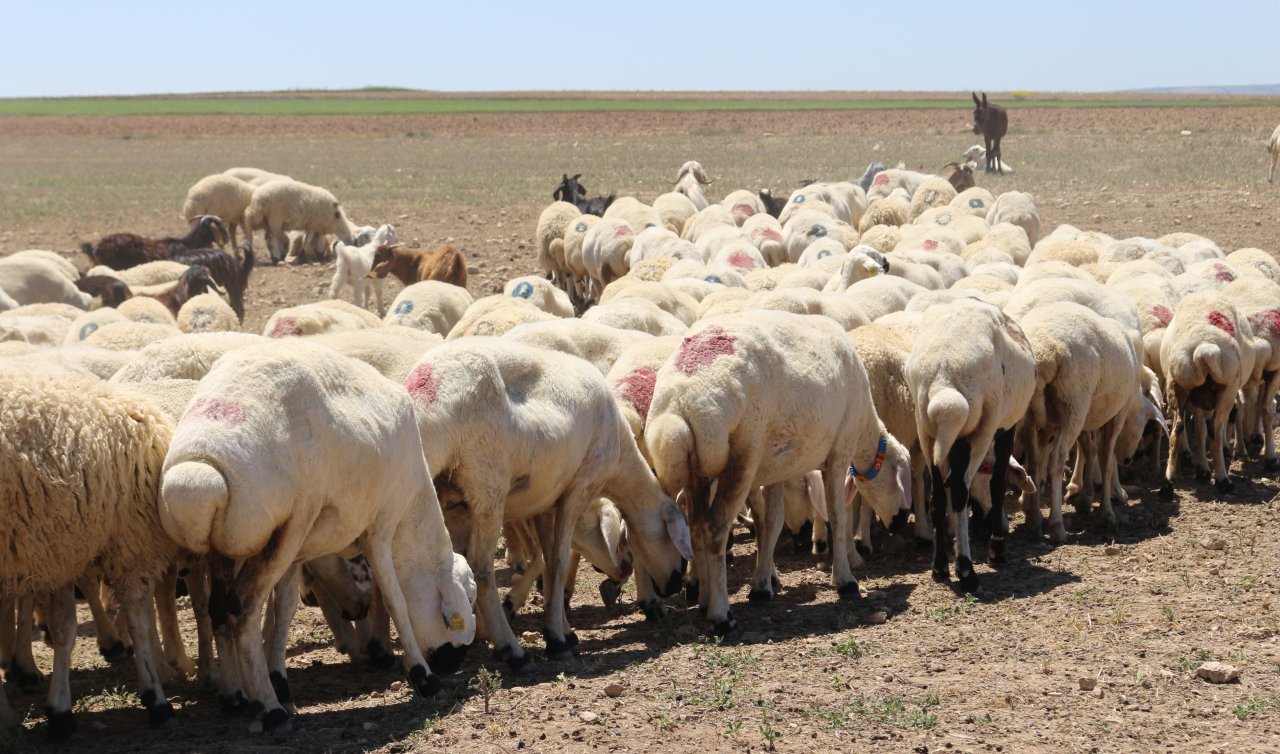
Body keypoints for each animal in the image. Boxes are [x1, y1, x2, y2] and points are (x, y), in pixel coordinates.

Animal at [0, 373, 180, 737]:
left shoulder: (56, 546)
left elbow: (64, 628)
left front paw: (57, 710)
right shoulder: (125, 541)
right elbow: (138, 622)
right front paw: (156, 698)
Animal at [160, 340, 478, 727]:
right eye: (466, 603)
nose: (455, 663)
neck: (413, 513)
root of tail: (197, 473)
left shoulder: (297, 553)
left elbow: (283, 611)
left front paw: (281, 682)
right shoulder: (380, 527)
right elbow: (395, 601)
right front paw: (424, 678)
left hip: (236, 545)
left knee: (219, 611)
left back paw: (238, 697)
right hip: (292, 520)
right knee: (243, 609)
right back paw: (269, 710)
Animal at [407, 337, 691, 665]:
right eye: (678, 545)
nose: (674, 585)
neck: (620, 456)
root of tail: (427, 391)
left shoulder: (544, 499)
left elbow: (550, 558)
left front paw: (564, 630)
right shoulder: (580, 486)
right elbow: (559, 558)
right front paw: (556, 637)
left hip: (441, 495)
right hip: (487, 485)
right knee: (480, 566)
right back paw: (510, 650)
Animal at [650, 307, 911, 634]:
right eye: (900, 472)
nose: (902, 520)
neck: (865, 427)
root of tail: (680, 400)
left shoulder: (776, 468)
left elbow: (772, 523)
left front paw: (762, 586)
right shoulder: (839, 452)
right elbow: (838, 517)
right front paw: (846, 581)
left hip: (697, 470)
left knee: (696, 527)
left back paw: (704, 599)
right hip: (742, 458)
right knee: (715, 530)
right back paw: (721, 614)